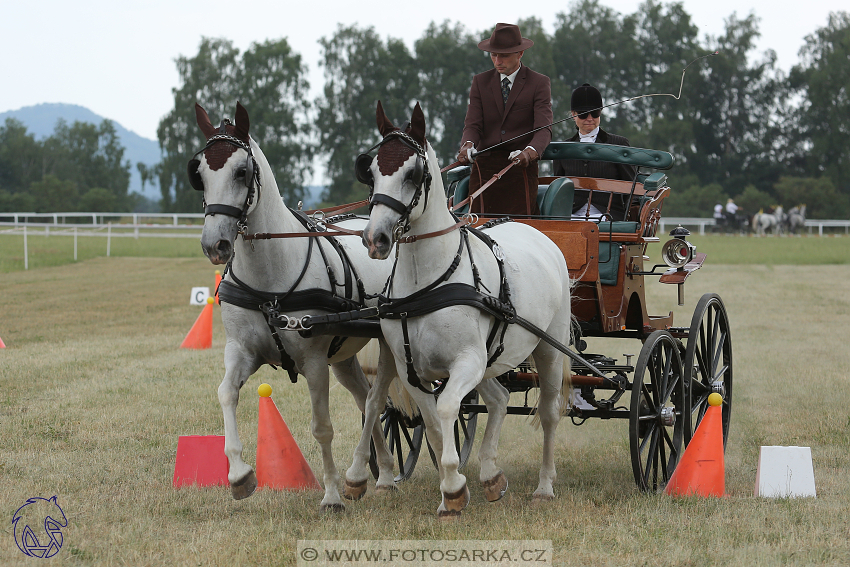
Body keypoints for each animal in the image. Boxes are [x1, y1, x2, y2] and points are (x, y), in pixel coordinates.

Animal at [189, 103, 398, 516]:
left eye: (242, 171)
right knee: (363, 396)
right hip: (343, 357)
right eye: (199, 173)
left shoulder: (314, 362)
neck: (269, 278)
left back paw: (360, 475)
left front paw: (331, 496)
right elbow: (226, 393)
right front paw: (239, 475)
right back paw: (379, 474)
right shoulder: (242, 350)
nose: (215, 245)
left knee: (375, 399)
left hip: (387, 343)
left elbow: (322, 427)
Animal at [348, 102, 572, 520]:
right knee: (498, 398)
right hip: (491, 360)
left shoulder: (467, 362)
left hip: (548, 348)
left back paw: (545, 487)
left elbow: (448, 406)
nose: (375, 239)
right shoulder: (412, 370)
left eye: (413, 174)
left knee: (550, 414)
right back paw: (490, 476)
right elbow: (435, 425)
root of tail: (536, 231)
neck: (426, 284)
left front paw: (452, 486)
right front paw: (451, 491)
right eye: (370, 171)